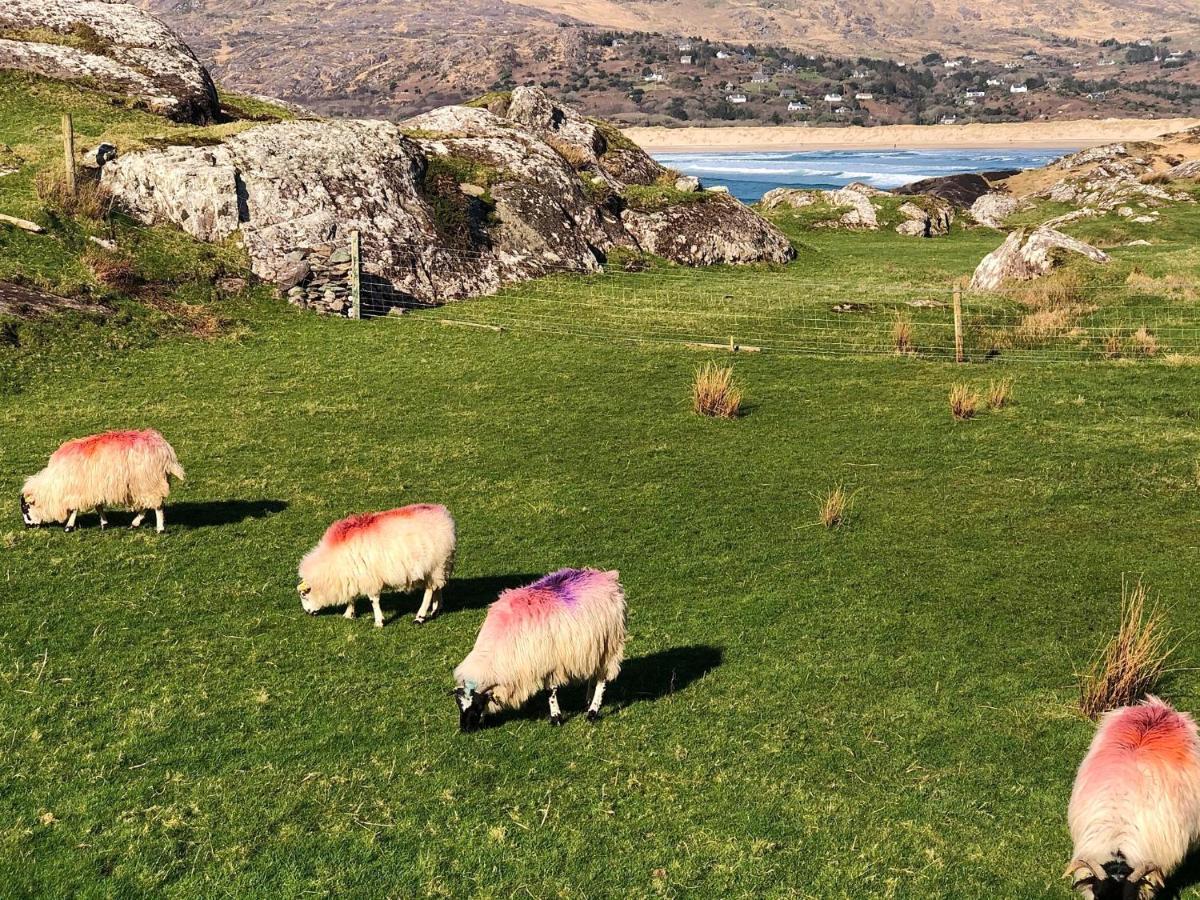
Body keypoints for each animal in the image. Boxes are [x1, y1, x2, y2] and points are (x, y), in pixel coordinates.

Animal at [21, 427, 184, 532]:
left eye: (26, 509)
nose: (27, 526)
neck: (53, 487)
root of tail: (164, 449)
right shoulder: (92, 490)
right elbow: (98, 507)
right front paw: (104, 523)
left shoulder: (77, 490)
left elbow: (74, 509)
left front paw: (69, 526)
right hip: (143, 485)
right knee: (147, 505)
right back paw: (135, 523)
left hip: (148, 481)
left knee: (157, 506)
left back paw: (160, 528)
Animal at [295, 504, 453, 628]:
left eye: (304, 595)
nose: (308, 612)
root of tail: (443, 513)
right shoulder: (353, 577)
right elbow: (352, 597)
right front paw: (348, 614)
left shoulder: (369, 578)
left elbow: (373, 600)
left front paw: (379, 621)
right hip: (439, 567)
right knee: (437, 587)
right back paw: (436, 609)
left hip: (435, 566)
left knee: (429, 590)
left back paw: (419, 617)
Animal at [451, 571, 628, 734]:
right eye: (459, 705)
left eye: (477, 705)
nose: (465, 729)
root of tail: (607, 577)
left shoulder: (549, 664)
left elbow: (550, 691)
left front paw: (556, 718)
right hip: (593, 649)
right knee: (594, 674)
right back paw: (588, 701)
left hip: (609, 646)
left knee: (602, 680)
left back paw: (592, 712)